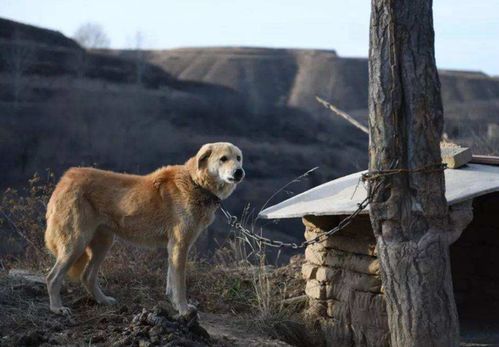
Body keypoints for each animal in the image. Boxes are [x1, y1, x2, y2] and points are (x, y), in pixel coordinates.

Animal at [45, 143, 244, 316]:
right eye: (223, 159)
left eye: (238, 158)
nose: (239, 171)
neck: (197, 184)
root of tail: (65, 179)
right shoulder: (180, 245)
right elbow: (179, 284)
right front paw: (183, 309)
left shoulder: (173, 247)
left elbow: (171, 282)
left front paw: (174, 305)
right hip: (76, 243)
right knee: (52, 278)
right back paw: (57, 308)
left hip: (103, 242)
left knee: (87, 276)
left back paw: (103, 300)